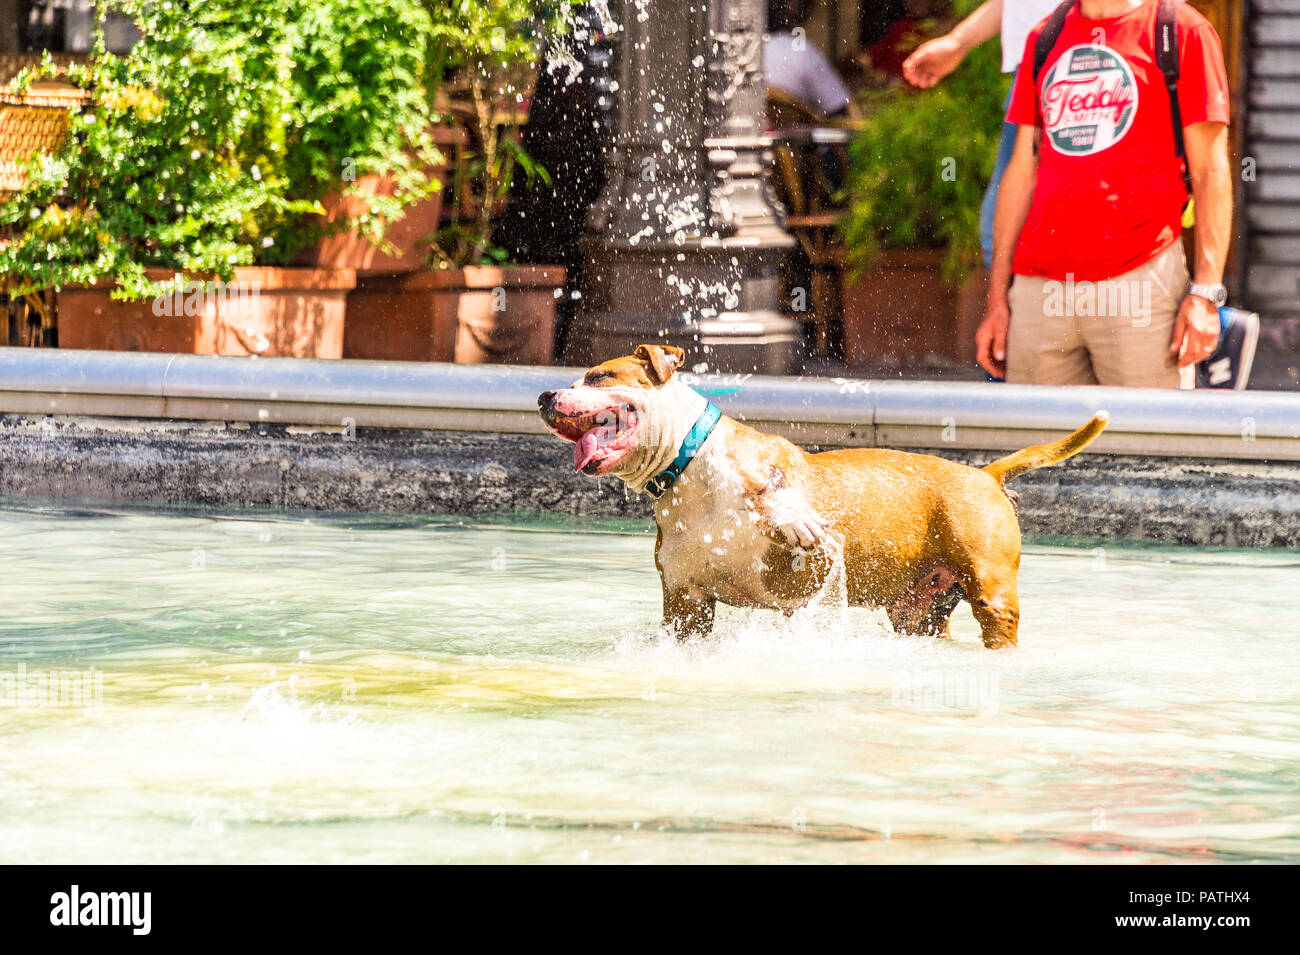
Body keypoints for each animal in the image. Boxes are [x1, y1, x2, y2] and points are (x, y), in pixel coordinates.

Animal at [538, 345, 1107, 649]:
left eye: (600, 375)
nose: (544, 395)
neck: (688, 469)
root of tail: (984, 474)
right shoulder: (685, 604)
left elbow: (781, 501)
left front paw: (790, 515)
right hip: (919, 614)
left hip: (992, 590)